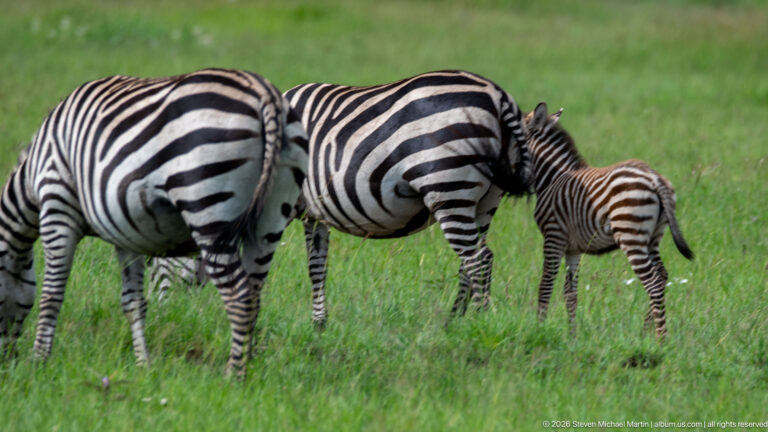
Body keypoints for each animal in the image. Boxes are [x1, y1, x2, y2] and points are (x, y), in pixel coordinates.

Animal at [0, 68, 308, 376]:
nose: (8, 361)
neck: (31, 177)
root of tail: (265, 93)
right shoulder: (126, 231)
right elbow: (133, 302)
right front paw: (143, 365)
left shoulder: (57, 205)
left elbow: (51, 294)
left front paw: (39, 362)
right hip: (270, 219)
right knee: (255, 294)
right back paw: (250, 365)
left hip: (208, 207)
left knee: (240, 296)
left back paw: (234, 376)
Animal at [284, 70, 533, 327]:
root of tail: (498, 95)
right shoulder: (314, 214)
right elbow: (316, 265)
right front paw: (319, 324)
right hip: (485, 202)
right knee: (471, 259)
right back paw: (454, 321)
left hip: (449, 188)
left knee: (479, 260)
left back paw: (479, 322)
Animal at [523, 102, 693, 338]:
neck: (553, 177)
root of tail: (654, 178)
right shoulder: (573, 248)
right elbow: (570, 293)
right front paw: (572, 336)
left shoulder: (553, 236)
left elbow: (545, 285)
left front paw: (539, 329)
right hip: (653, 236)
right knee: (661, 275)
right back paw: (645, 332)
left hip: (630, 234)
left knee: (653, 283)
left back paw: (661, 338)